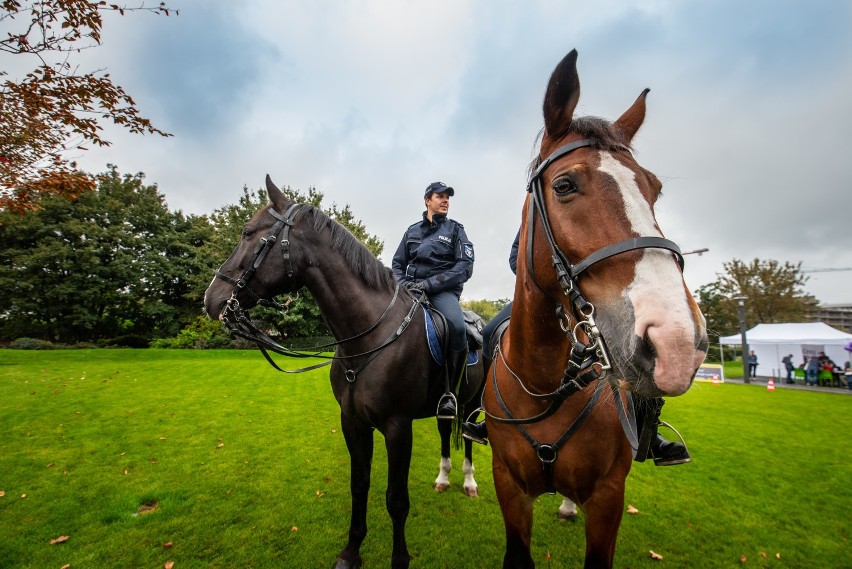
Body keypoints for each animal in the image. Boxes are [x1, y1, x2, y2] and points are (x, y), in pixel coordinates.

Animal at [486, 50, 712, 568]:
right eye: (565, 185)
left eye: (655, 189)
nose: (676, 341)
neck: (546, 386)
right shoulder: (509, 488)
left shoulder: (609, 496)